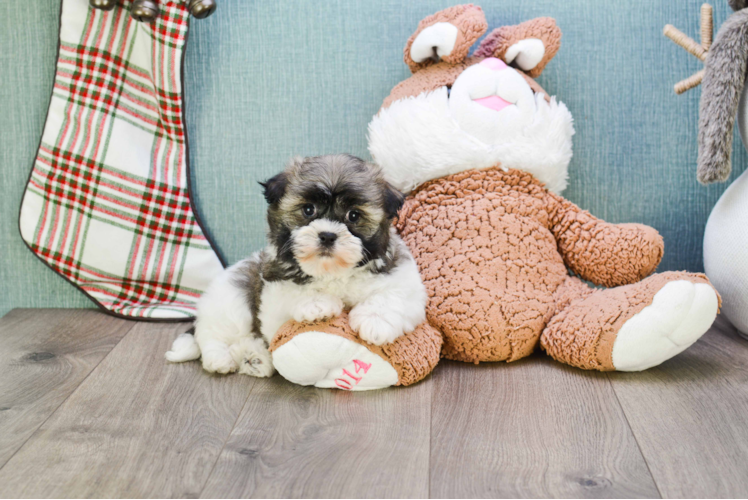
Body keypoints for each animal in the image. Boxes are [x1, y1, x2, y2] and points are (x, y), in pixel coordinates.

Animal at [167, 154, 430, 376]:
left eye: (353, 215)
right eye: (308, 209)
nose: (327, 235)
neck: (332, 273)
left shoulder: (402, 278)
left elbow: (394, 295)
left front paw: (375, 321)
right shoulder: (274, 290)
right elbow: (291, 294)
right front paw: (317, 303)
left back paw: (255, 359)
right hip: (231, 299)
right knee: (213, 333)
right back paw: (221, 358)